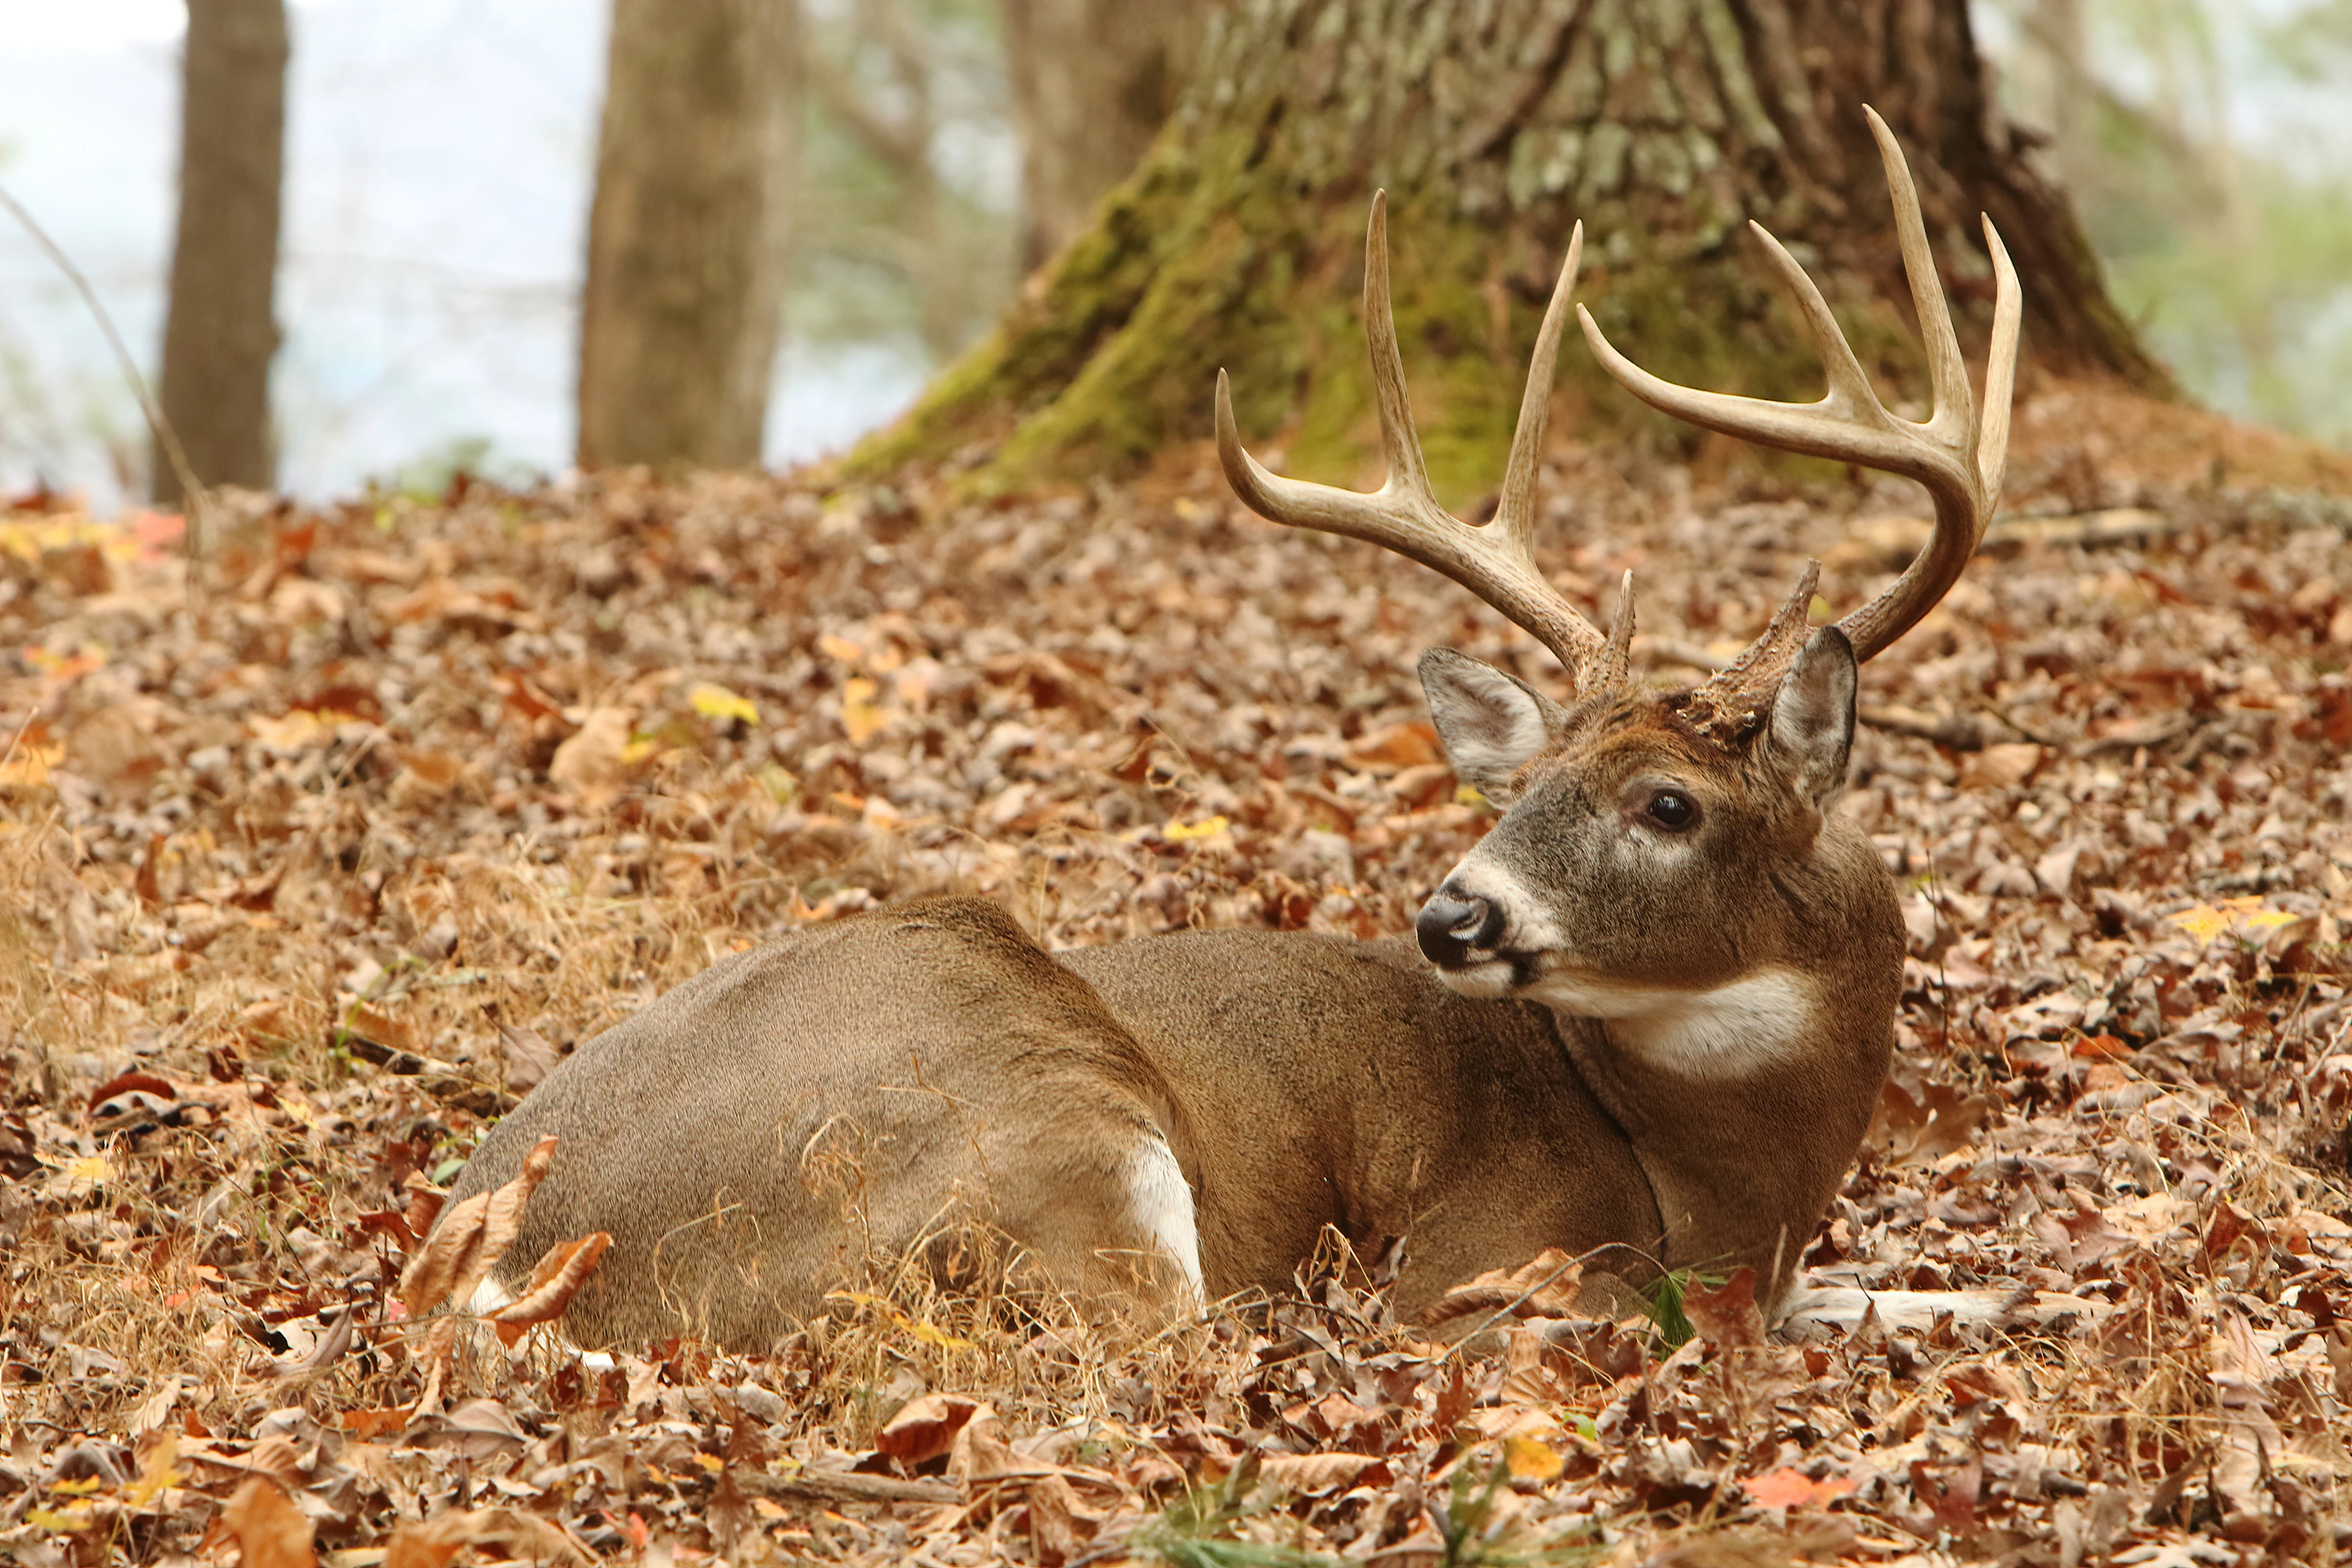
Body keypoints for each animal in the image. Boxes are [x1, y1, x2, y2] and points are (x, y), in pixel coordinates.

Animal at [442, 110, 2022, 1354]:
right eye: (1529, 782)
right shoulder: (1493, 1247)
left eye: (1668, 802)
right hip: (1046, 1105)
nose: (1454, 913)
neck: (1740, 1185)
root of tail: (494, 1278)